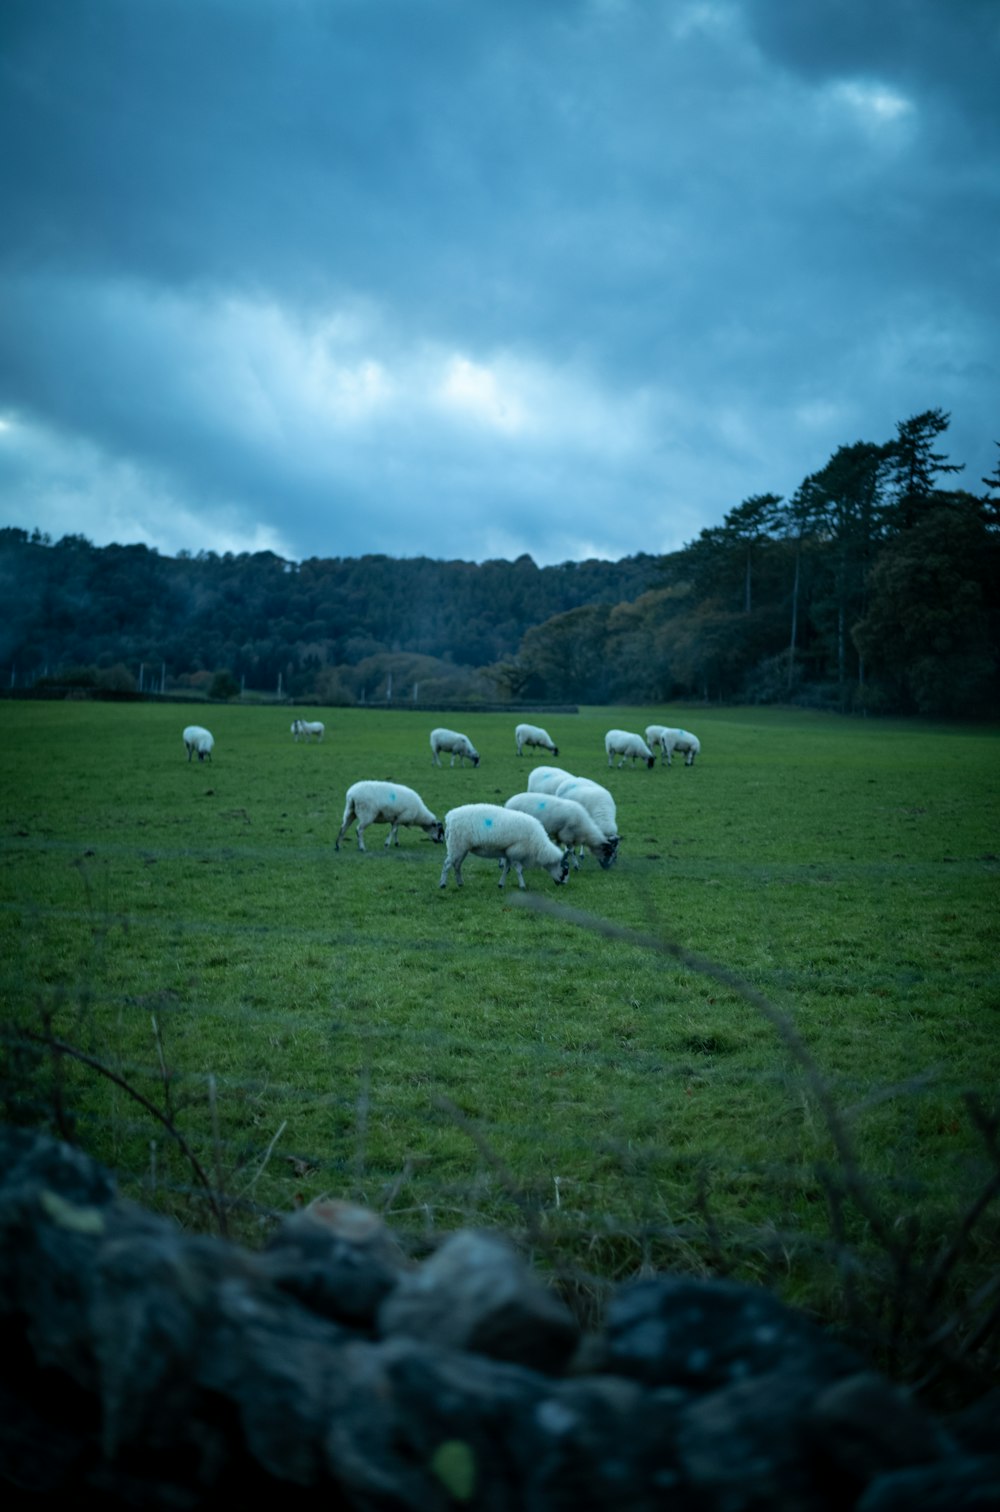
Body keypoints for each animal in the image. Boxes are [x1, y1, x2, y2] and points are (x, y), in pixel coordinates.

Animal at [438, 804, 568, 883]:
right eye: (565, 870)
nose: (564, 884)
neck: (539, 846)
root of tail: (450, 817)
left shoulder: (509, 852)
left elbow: (506, 868)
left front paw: (501, 884)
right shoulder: (516, 851)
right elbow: (518, 869)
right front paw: (522, 885)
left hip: (461, 848)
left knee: (457, 865)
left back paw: (460, 883)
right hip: (456, 845)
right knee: (447, 864)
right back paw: (442, 884)